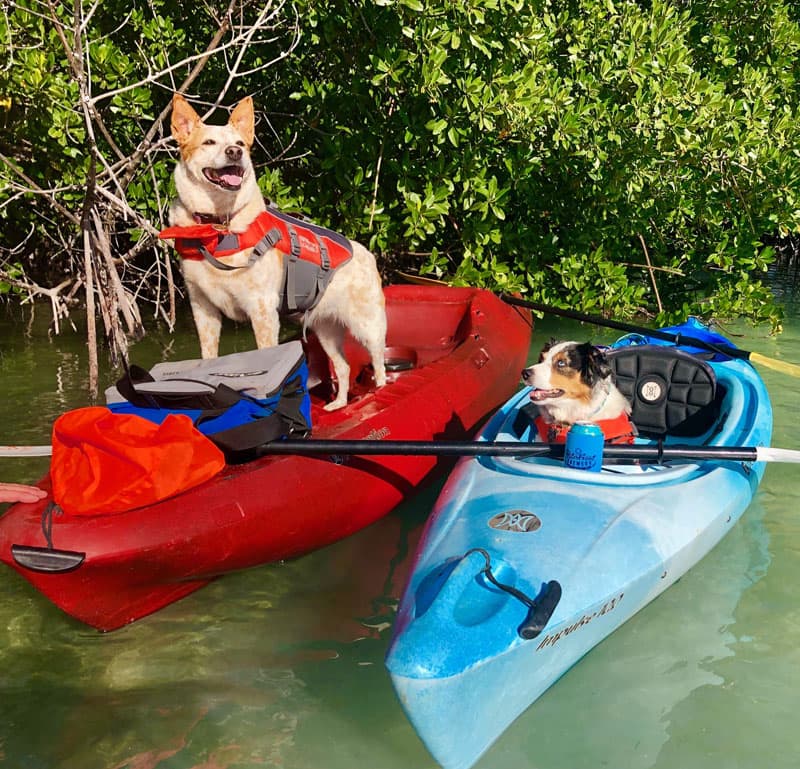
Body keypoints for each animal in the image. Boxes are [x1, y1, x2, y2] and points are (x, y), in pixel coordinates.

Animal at [164, 92, 386, 408]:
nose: (235, 152)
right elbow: (208, 356)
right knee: (342, 367)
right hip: (325, 328)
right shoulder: (203, 309)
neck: (218, 227)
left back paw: (379, 391)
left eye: (240, 143)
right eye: (209, 142)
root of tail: (366, 253)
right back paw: (338, 404)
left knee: (379, 362)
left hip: (367, 325)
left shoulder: (262, 310)